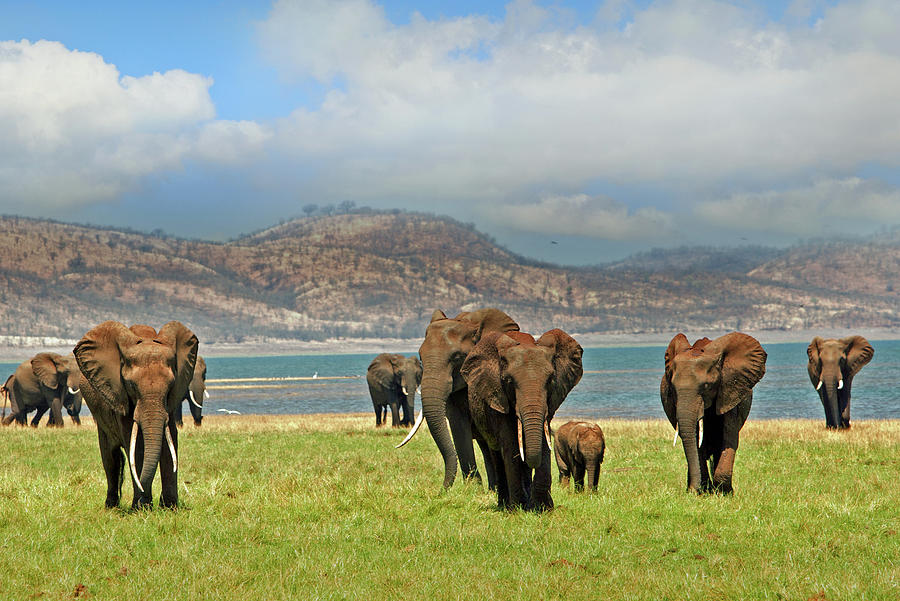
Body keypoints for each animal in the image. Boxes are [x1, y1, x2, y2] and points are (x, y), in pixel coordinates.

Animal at [75, 322, 199, 508]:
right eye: (131, 385)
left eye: (171, 385)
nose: (145, 499)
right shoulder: (120, 395)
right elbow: (136, 445)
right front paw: (141, 508)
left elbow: (170, 441)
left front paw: (169, 507)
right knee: (110, 457)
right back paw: (111, 506)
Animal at [458, 328, 584, 510]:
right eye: (508, 381)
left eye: (551, 380)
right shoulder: (497, 398)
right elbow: (510, 445)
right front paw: (516, 508)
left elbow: (543, 440)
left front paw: (543, 508)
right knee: (497, 455)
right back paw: (505, 504)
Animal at [660, 330, 768, 494]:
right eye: (672, 388)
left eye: (707, 386)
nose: (693, 490)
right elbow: (697, 440)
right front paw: (703, 490)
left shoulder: (729, 390)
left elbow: (729, 437)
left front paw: (725, 492)